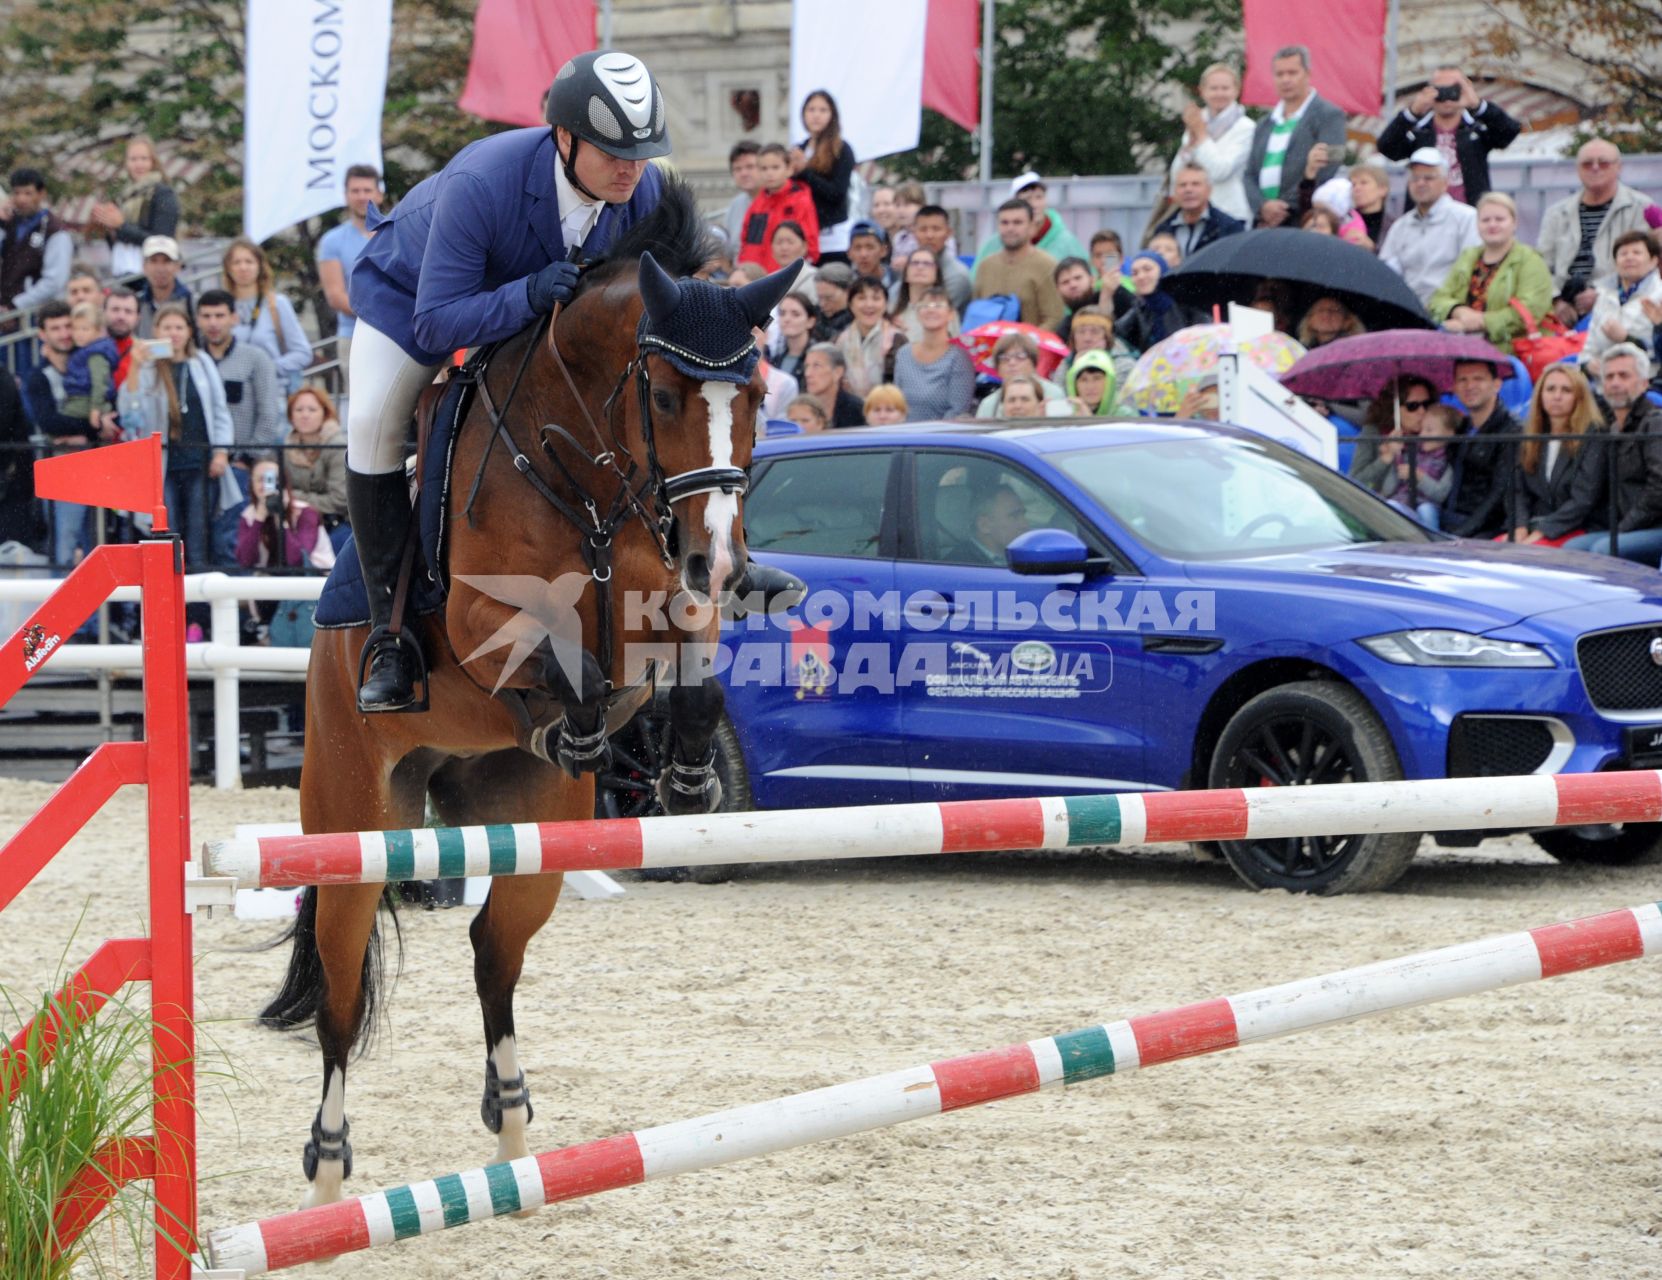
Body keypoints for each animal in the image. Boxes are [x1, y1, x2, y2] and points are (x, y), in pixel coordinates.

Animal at [262, 182, 801, 1210]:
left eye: (755, 396)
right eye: (663, 395)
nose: (722, 560)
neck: (581, 467)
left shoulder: (662, 597)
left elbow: (692, 674)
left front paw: (686, 777)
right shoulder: (484, 621)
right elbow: (567, 666)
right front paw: (585, 727)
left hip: (531, 831)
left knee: (492, 945)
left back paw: (511, 1122)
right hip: (353, 822)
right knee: (342, 998)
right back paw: (328, 1166)